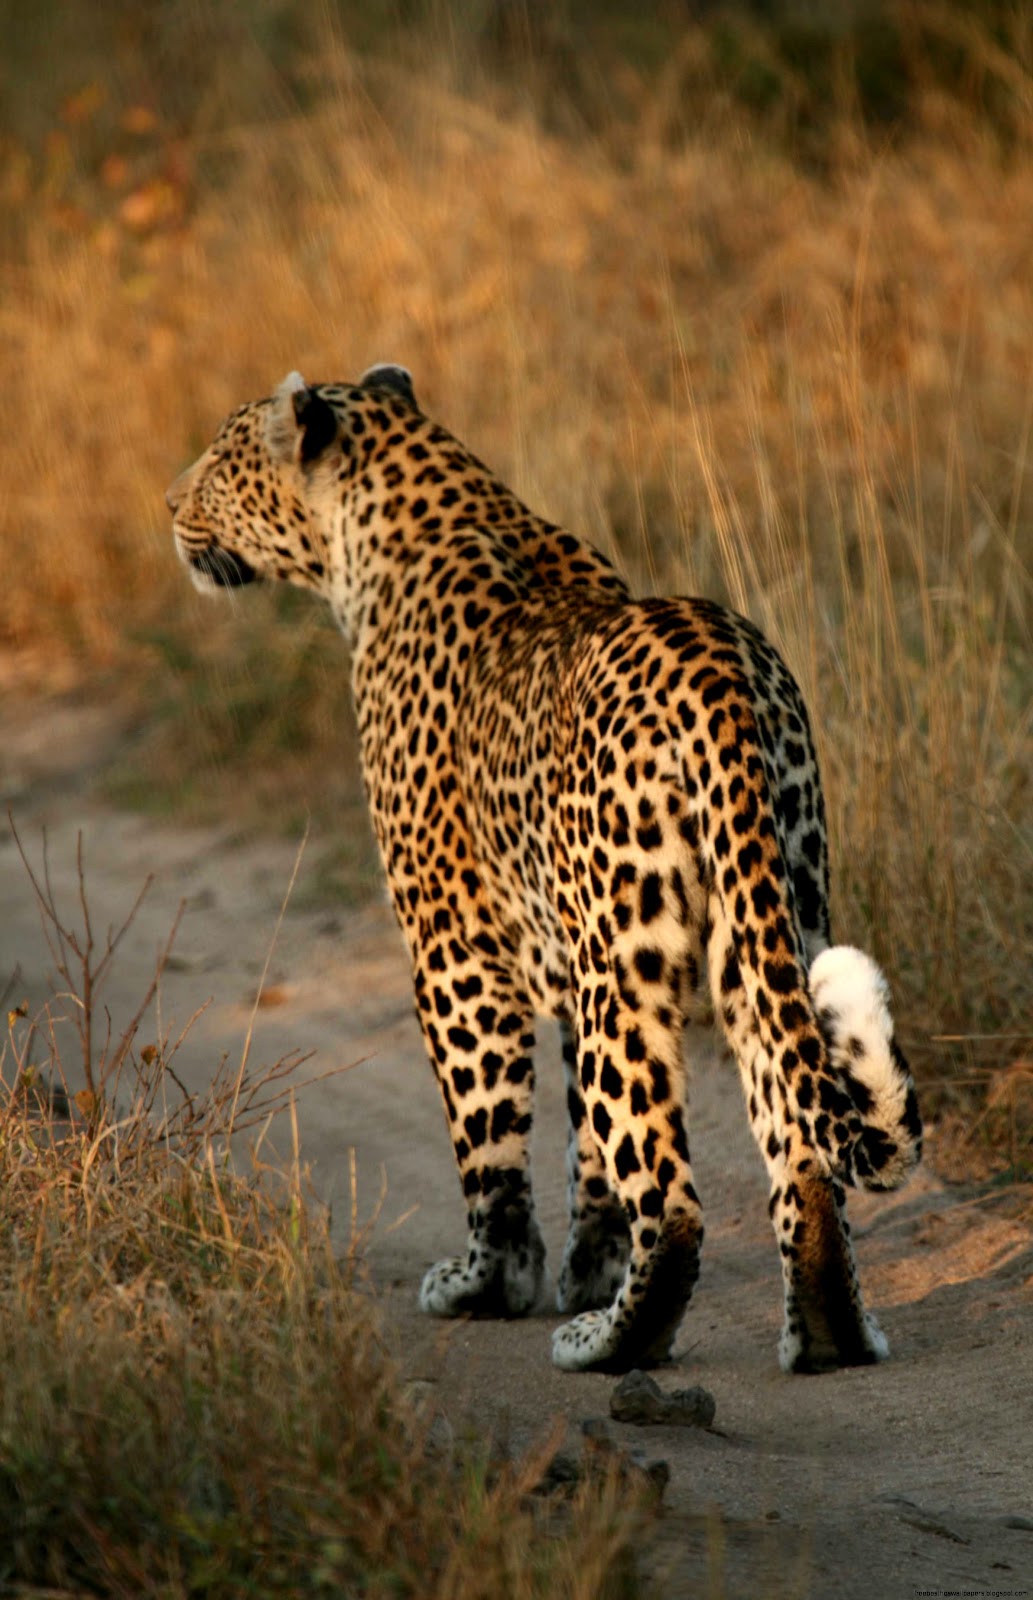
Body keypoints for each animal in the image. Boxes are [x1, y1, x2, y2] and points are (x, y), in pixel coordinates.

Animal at [167, 364, 922, 1374]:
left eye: (221, 460)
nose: (170, 503)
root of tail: (721, 668)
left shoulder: (453, 949)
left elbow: (486, 1132)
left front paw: (491, 1282)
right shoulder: (562, 945)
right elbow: (585, 1154)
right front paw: (587, 1267)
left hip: (629, 965)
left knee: (673, 1199)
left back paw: (608, 1344)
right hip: (771, 911)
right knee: (796, 1141)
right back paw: (826, 1333)